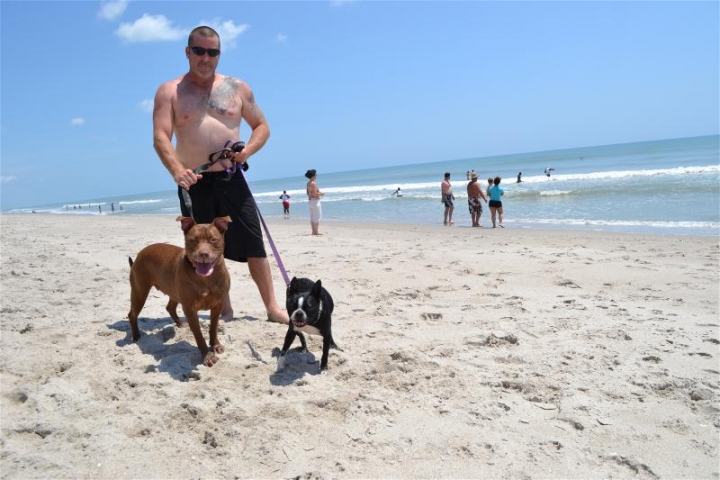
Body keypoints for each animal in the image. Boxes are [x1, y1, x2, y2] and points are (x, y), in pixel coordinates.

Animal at [127, 216, 231, 366]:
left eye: (213, 239)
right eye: (193, 240)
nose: (203, 254)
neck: (206, 278)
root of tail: (140, 253)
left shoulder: (218, 304)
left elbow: (213, 327)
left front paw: (215, 345)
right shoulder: (189, 308)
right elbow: (198, 334)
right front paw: (207, 355)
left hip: (173, 291)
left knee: (170, 307)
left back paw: (180, 324)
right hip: (139, 292)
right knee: (132, 314)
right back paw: (136, 336)